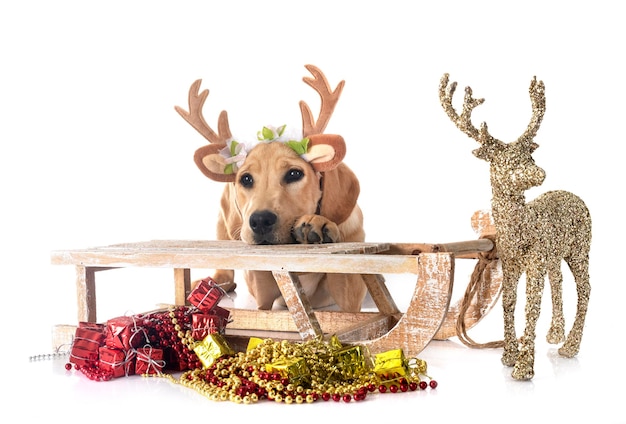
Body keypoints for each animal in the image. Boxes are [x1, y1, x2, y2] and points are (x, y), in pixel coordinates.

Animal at [173, 66, 366, 312]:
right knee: (225, 273)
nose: (260, 221)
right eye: (246, 179)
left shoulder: (352, 290)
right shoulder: (261, 289)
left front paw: (319, 225)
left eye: (294, 174)